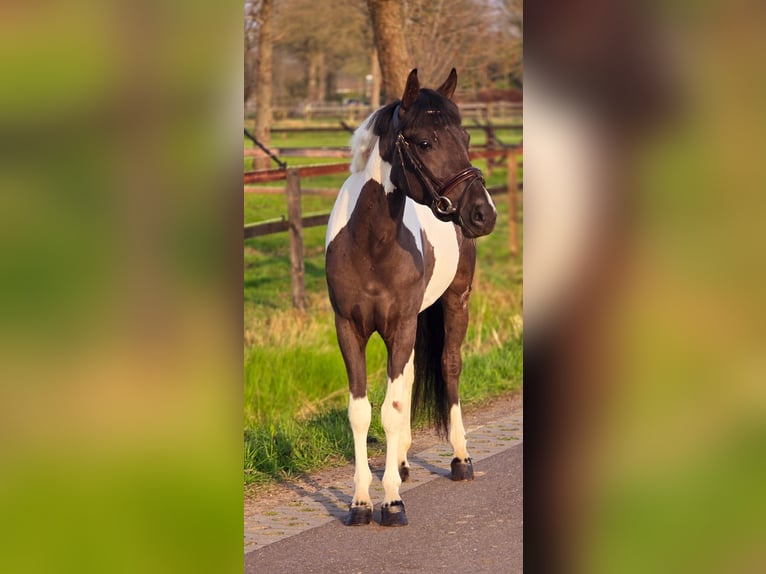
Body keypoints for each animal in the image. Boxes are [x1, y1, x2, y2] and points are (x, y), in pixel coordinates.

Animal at [325, 68, 497, 527]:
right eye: (424, 142)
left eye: (466, 136)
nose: (484, 213)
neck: (370, 245)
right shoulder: (349, 328)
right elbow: (362, 411)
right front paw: (361, 503)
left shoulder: (401, 323)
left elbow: (394, 406)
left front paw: (391, 502)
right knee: (413, 375)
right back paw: (400, 463)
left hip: (456, 300)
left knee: (448, 366)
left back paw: (460, 460)